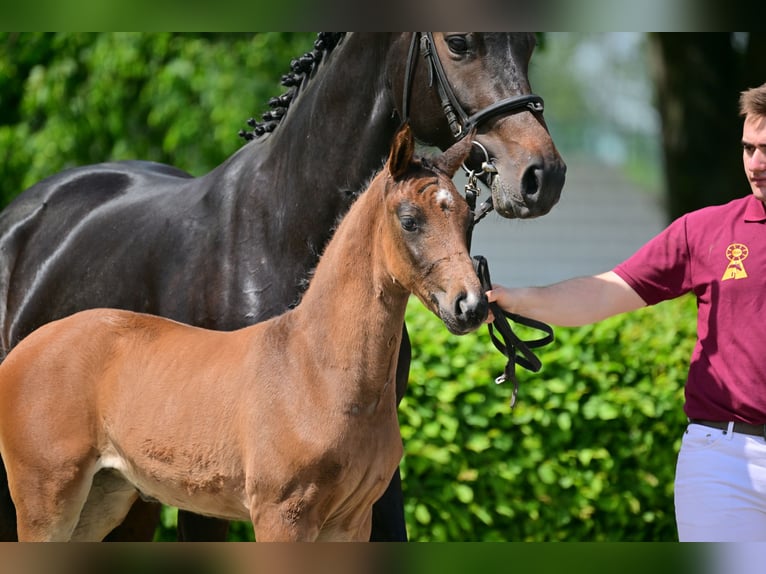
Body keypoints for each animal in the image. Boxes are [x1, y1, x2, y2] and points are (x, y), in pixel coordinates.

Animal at [0, 32, 568, 544]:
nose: (541, 175)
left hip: (109, 499)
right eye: (459, 43)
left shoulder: (357, 516)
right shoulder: (278, 514)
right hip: (47, 501)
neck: (316, 364)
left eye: (468, 219)